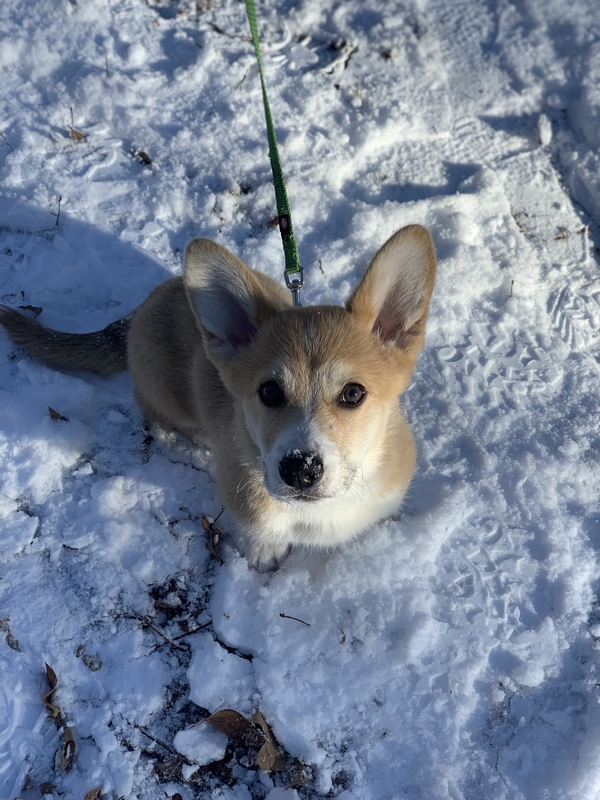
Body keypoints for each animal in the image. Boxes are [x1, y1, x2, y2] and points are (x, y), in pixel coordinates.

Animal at [0, 222, 434, 564]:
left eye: (353, 393)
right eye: (269, 391)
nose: (300, 470)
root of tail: (134, 314)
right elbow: (259, 531)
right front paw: (263, 553)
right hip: (165, 393)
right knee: (152, 409)